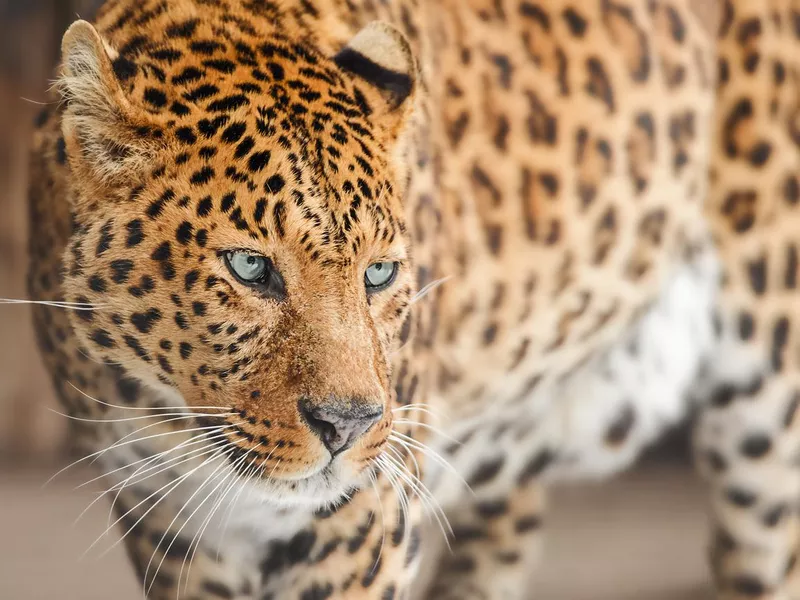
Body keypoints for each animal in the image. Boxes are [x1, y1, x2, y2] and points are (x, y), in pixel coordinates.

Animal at [21, 0, 800, 596]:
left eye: (378, 275)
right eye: (249, 266)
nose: (347, 426)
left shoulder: (363, 517)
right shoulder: (165, 523)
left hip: (769, 409)